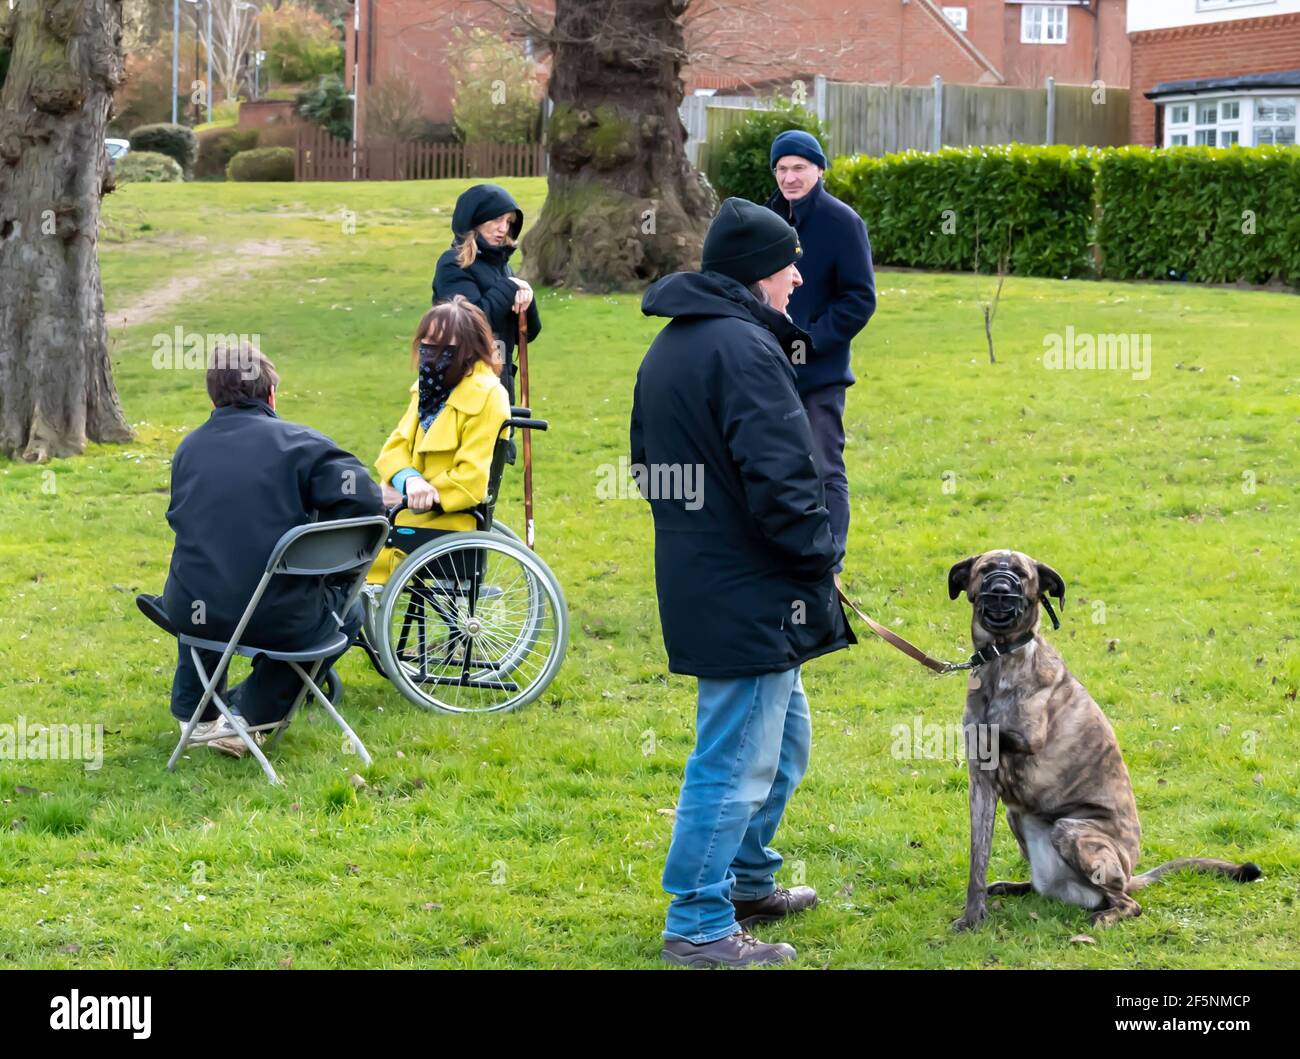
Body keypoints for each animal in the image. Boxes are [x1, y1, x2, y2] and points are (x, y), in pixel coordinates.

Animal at [946, 550, 1258, 930]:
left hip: (1074, 831)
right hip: (1016, 817)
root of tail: (1129, 874)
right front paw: (973, 916)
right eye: (986, 570)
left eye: (1022, 574)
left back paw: (1104, 917)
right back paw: (1016, 887)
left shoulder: (1024, 739)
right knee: (1043, 886)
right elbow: (978, 859)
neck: (1000, 660)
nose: (1001, 590)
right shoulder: (981, 782)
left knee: (1129, 903)